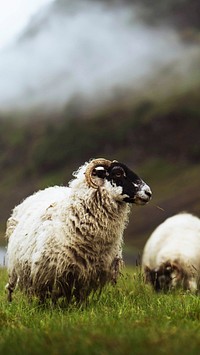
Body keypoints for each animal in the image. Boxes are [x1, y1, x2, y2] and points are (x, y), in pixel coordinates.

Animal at [5, 159, 152, 306]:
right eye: (118, 173)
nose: (148, 192)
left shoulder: (87, 274)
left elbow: (80, 296)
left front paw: (79, 307)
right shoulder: (48, 271)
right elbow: (47, 295)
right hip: (17, 267)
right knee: (11, 286)